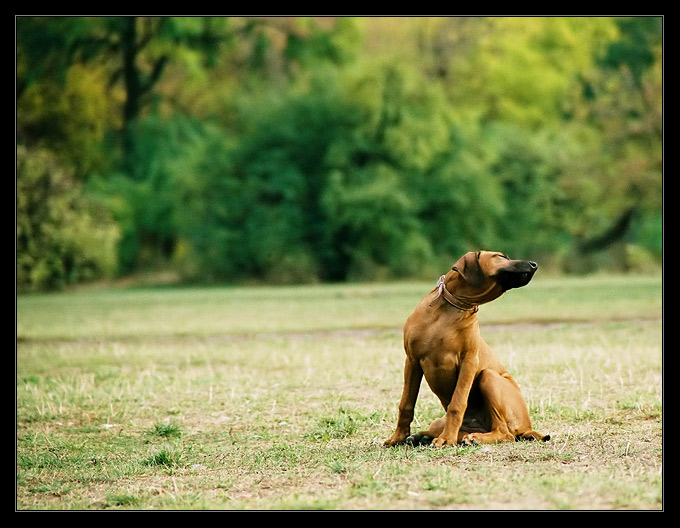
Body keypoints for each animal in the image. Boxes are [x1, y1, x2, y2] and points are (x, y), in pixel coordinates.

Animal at [386, 250, 548, 448]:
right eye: (500, 256)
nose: (534, 264)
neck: (451, 307)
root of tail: (527, 427)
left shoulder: (469, 361)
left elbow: (457, 404)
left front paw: (446, 439)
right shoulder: (412, 360)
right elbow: (406, 404)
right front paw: (398, 438)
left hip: (489, 376)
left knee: (505, 433)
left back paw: (473, 438)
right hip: (439, 420)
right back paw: (423, 437)